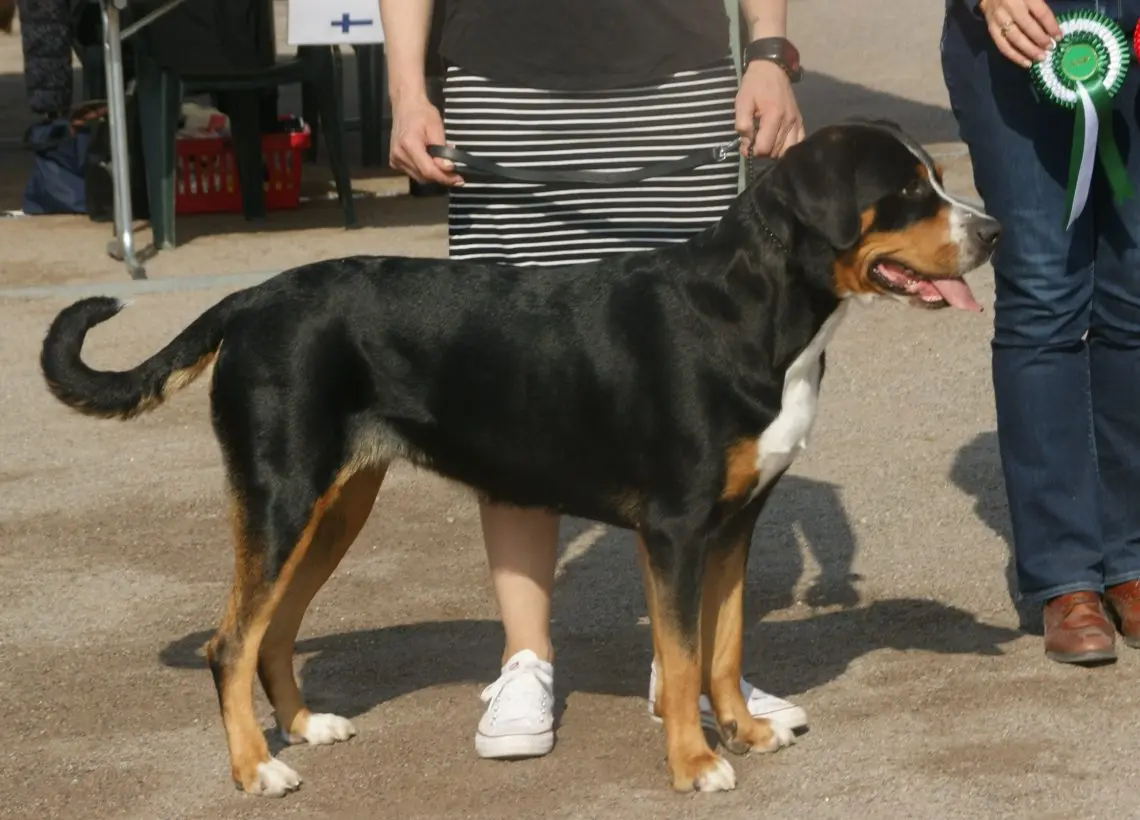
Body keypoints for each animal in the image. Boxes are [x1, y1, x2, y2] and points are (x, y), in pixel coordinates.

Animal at [37, 118, 998, 798]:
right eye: (906, 190)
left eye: (937, 180)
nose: (990, 232)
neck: (753, 311)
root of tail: (250, 298)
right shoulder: (677, 528)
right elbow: (685, 655)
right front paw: (694, 763)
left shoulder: (735, 524)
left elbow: (722, 647)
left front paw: (744, 731)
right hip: (280, 496)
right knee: (229, 641)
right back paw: (256, 770)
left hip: (335, 505)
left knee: (274, 628)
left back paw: (306, 727)